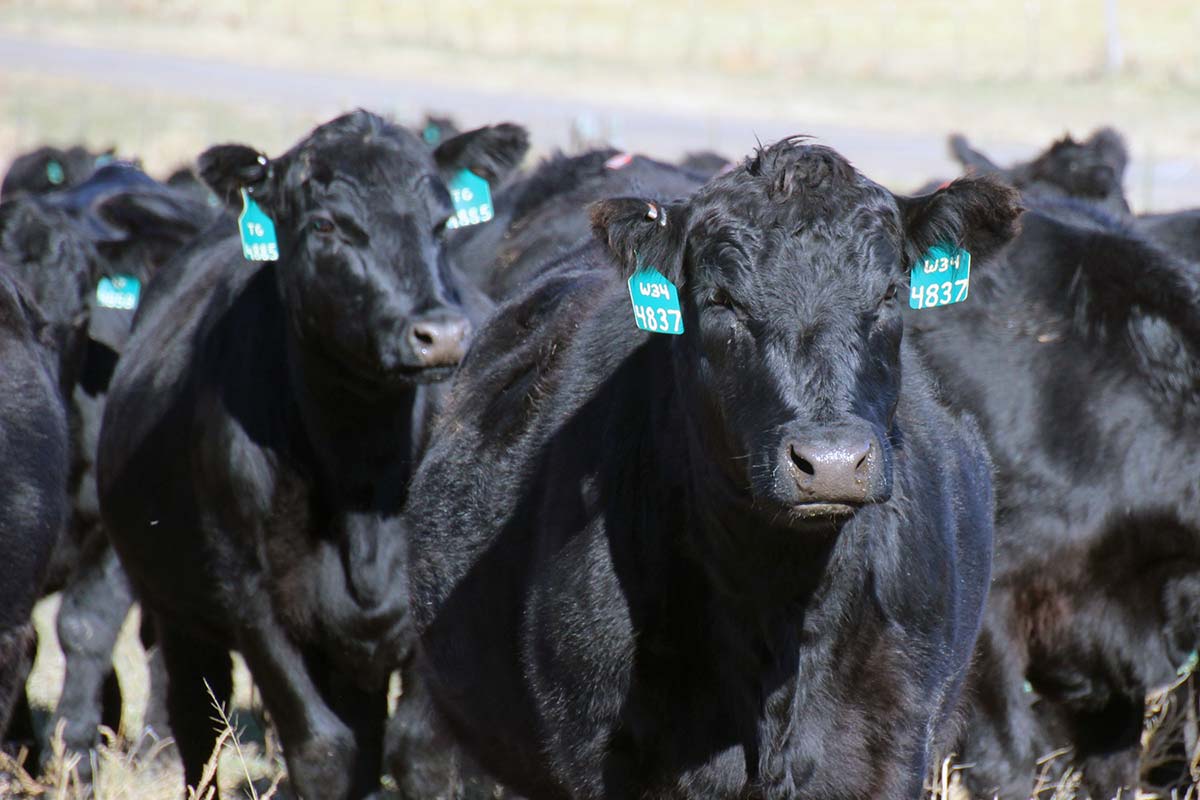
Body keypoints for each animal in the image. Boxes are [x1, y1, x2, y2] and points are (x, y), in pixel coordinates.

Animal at [96, 109, 528, 799]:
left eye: (441, 222)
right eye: (326, 225)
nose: (440, 335)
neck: (365, 480)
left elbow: (424, 752)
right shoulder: (252, 596)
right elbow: (321, 750)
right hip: (179, 615)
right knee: (197, 723)